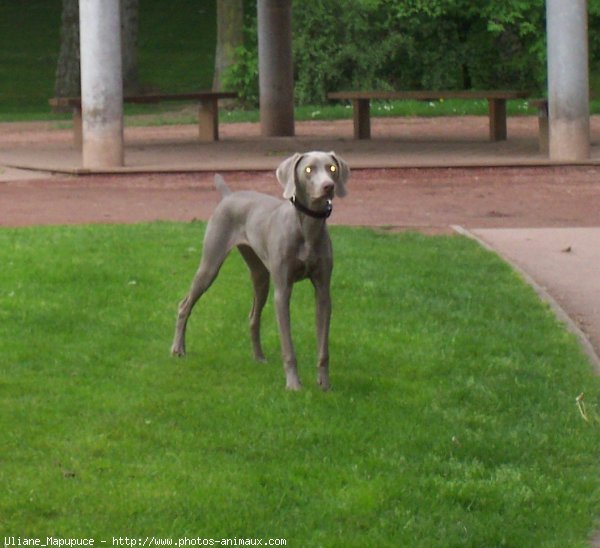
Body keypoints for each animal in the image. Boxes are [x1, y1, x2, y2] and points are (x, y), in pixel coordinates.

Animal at [171, 150, 350, 390]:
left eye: (332, 168)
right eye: (308, 169)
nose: (328, 187)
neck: (307, 227)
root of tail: (228, 196)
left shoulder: (323, 291)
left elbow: (323, 347)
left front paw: (324, 385)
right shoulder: (282, 291)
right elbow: (288, 346)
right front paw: (293, 385)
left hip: (261, 276)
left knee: (253, 316)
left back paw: (259, 357)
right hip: (210, 264)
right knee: (185, 304)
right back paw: (178, 349)